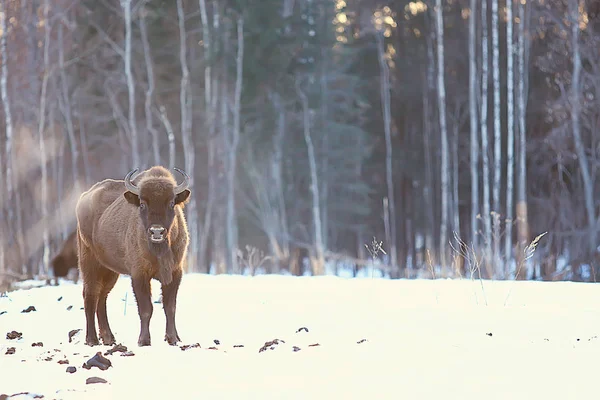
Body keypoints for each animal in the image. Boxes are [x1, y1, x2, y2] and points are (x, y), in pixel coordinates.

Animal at [75, 166, 191, 346]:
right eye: (142, 204)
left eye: (171, 203)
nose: (156, 231)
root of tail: (84, 197)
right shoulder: (139, 274)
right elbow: (146, 309)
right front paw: (144, 341)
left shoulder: (175, 273)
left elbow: (170, 307)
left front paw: (173, 339)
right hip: (89, 264)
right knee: (90, 296)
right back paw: (92, 339)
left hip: (110, 271)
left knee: (102, 298)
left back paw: (109, 338)